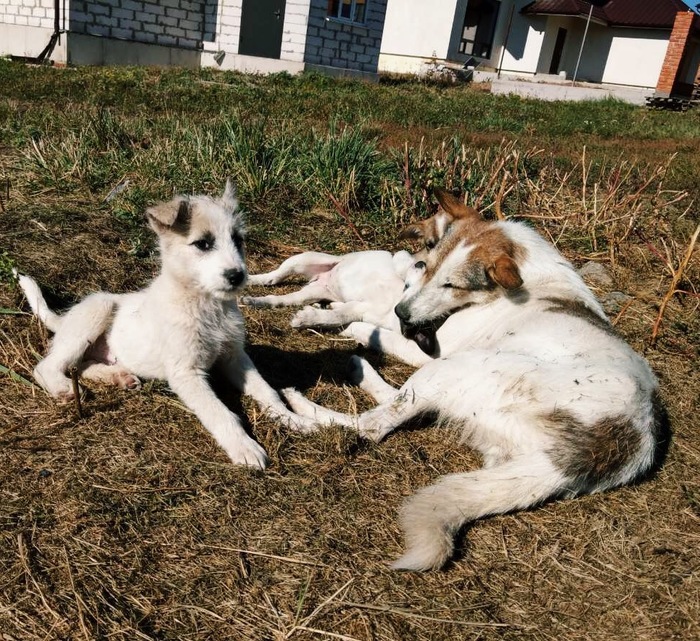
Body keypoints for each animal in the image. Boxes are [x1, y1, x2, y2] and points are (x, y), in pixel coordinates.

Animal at [17, 182, 314, 468]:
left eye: (238, 240)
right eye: (203, 244)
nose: (237, 276)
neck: (207, 305)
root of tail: (65, 319)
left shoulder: (235, 357)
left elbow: (268, 392)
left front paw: (295, 420)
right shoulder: (186, 373)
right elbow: (220, 412)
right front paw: (244, 447)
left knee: (82, 365)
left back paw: (119, 376)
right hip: (97, 309)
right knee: (47, 366)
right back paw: (63, 387)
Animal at [284, 189, 668, 568]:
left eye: (451, 284)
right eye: (428, 264)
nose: (402, 311)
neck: (530, 276)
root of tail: (608, 444)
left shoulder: (428, 350)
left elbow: (373, 324)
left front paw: (335, 319)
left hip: (454, 367)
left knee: (370, 425)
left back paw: (306, 398)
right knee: (395, 404)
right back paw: (358, 371)